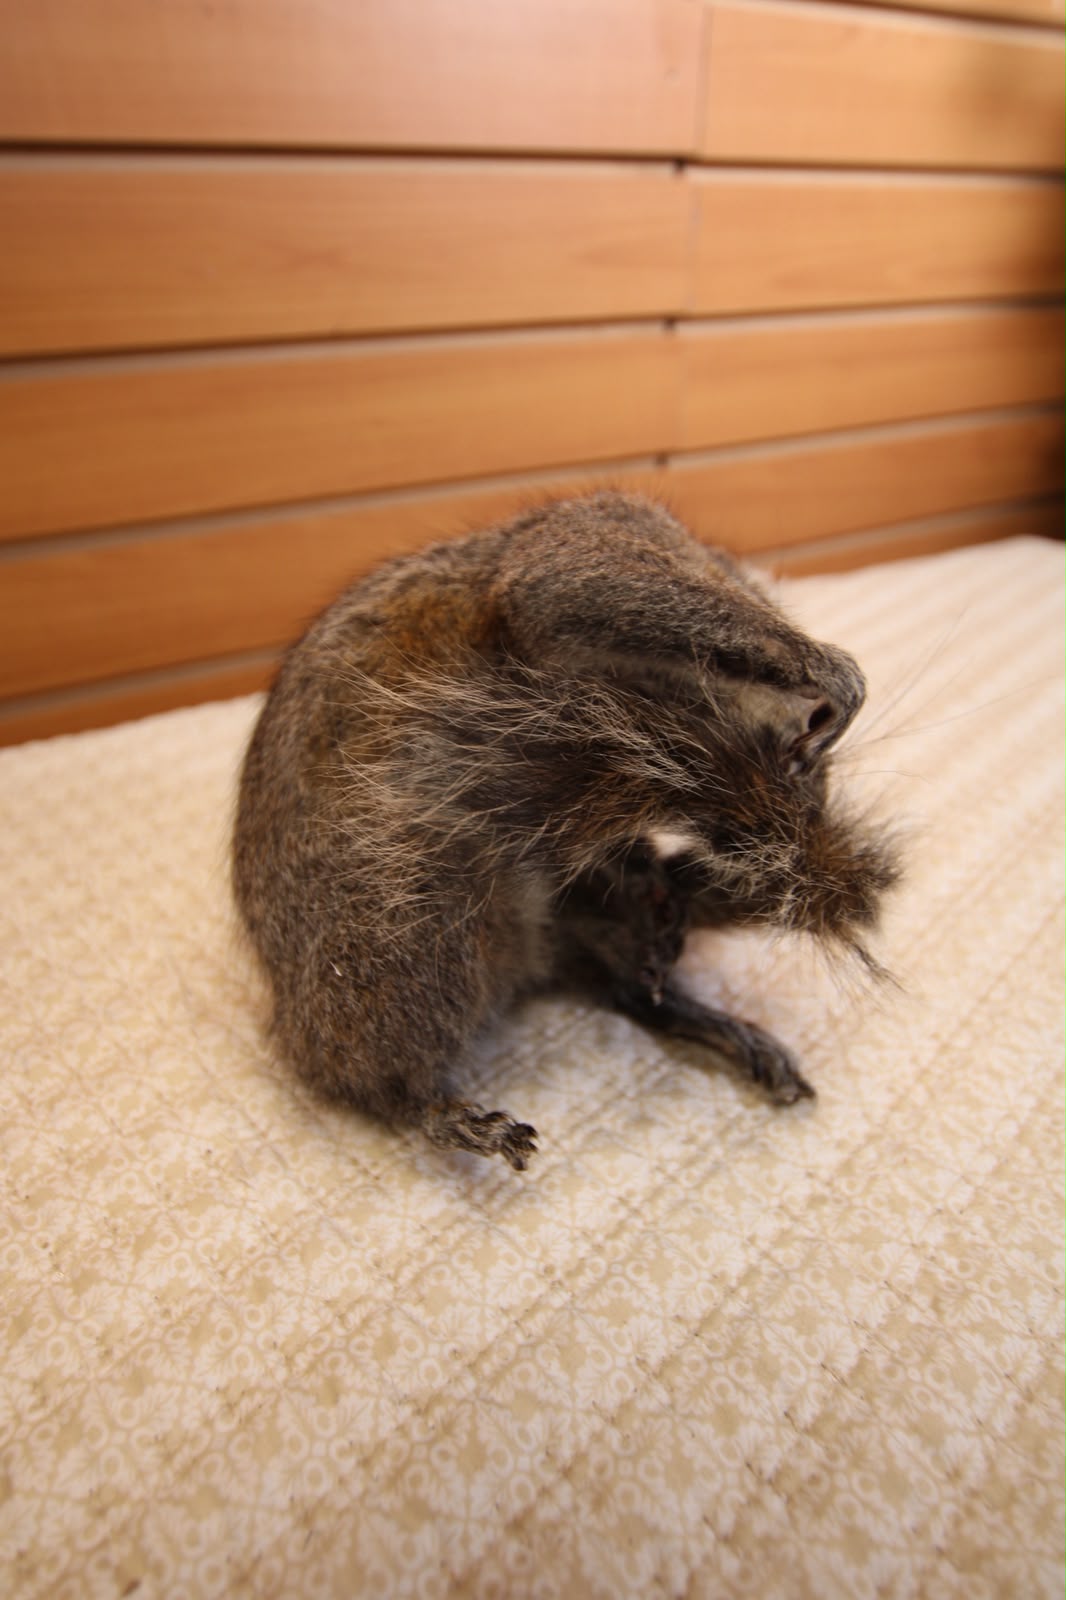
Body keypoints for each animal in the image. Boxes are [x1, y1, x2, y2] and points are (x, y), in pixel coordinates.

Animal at [233, 492, 900, 1171]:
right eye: (796, 771)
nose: (790, 844)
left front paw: (659, 882)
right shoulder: (595, 536)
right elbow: (558, 582)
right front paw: (829, 673)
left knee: (627, 985)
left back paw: (692, 991)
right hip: (405, 921)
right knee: (385, 1056)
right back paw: (427, 1106)